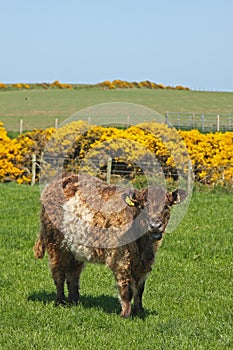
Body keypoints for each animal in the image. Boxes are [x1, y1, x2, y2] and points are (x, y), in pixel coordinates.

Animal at [33, 172, 187, 318]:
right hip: (55, 244)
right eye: (143, 206)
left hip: (74, 249)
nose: (155, 226)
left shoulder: (143, 264)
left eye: (166, 206)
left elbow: (140, 290)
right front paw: (125, 314)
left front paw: (139, 311)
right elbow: (126, 290)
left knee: (73, 275)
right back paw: (60, 301)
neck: (143, 245)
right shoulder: (121, 259)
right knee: (58, 273)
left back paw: (74, 302)